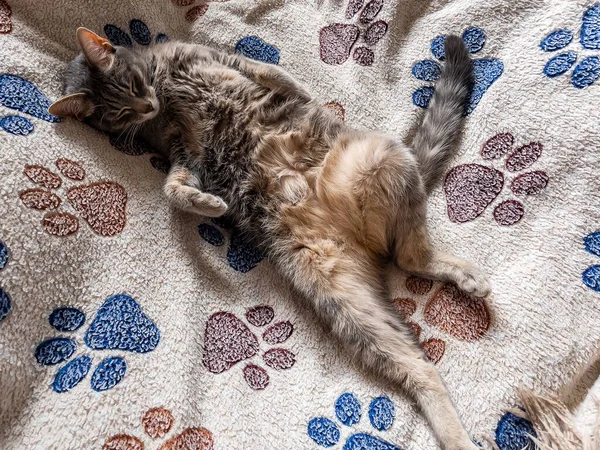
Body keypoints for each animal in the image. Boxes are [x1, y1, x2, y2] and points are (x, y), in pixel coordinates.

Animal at [50, 28, 492, 450]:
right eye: (121, 111)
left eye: (134, 85)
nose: (147, 107)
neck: (162, 84)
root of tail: (355, 231)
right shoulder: (180, 153)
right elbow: (174, 188)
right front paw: (207, 203)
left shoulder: (215, 59)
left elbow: (275, 74)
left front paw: (308, 97)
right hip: (346, 301)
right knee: (414, 336)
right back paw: (455, 435)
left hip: (382, 156)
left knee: (412, 256)